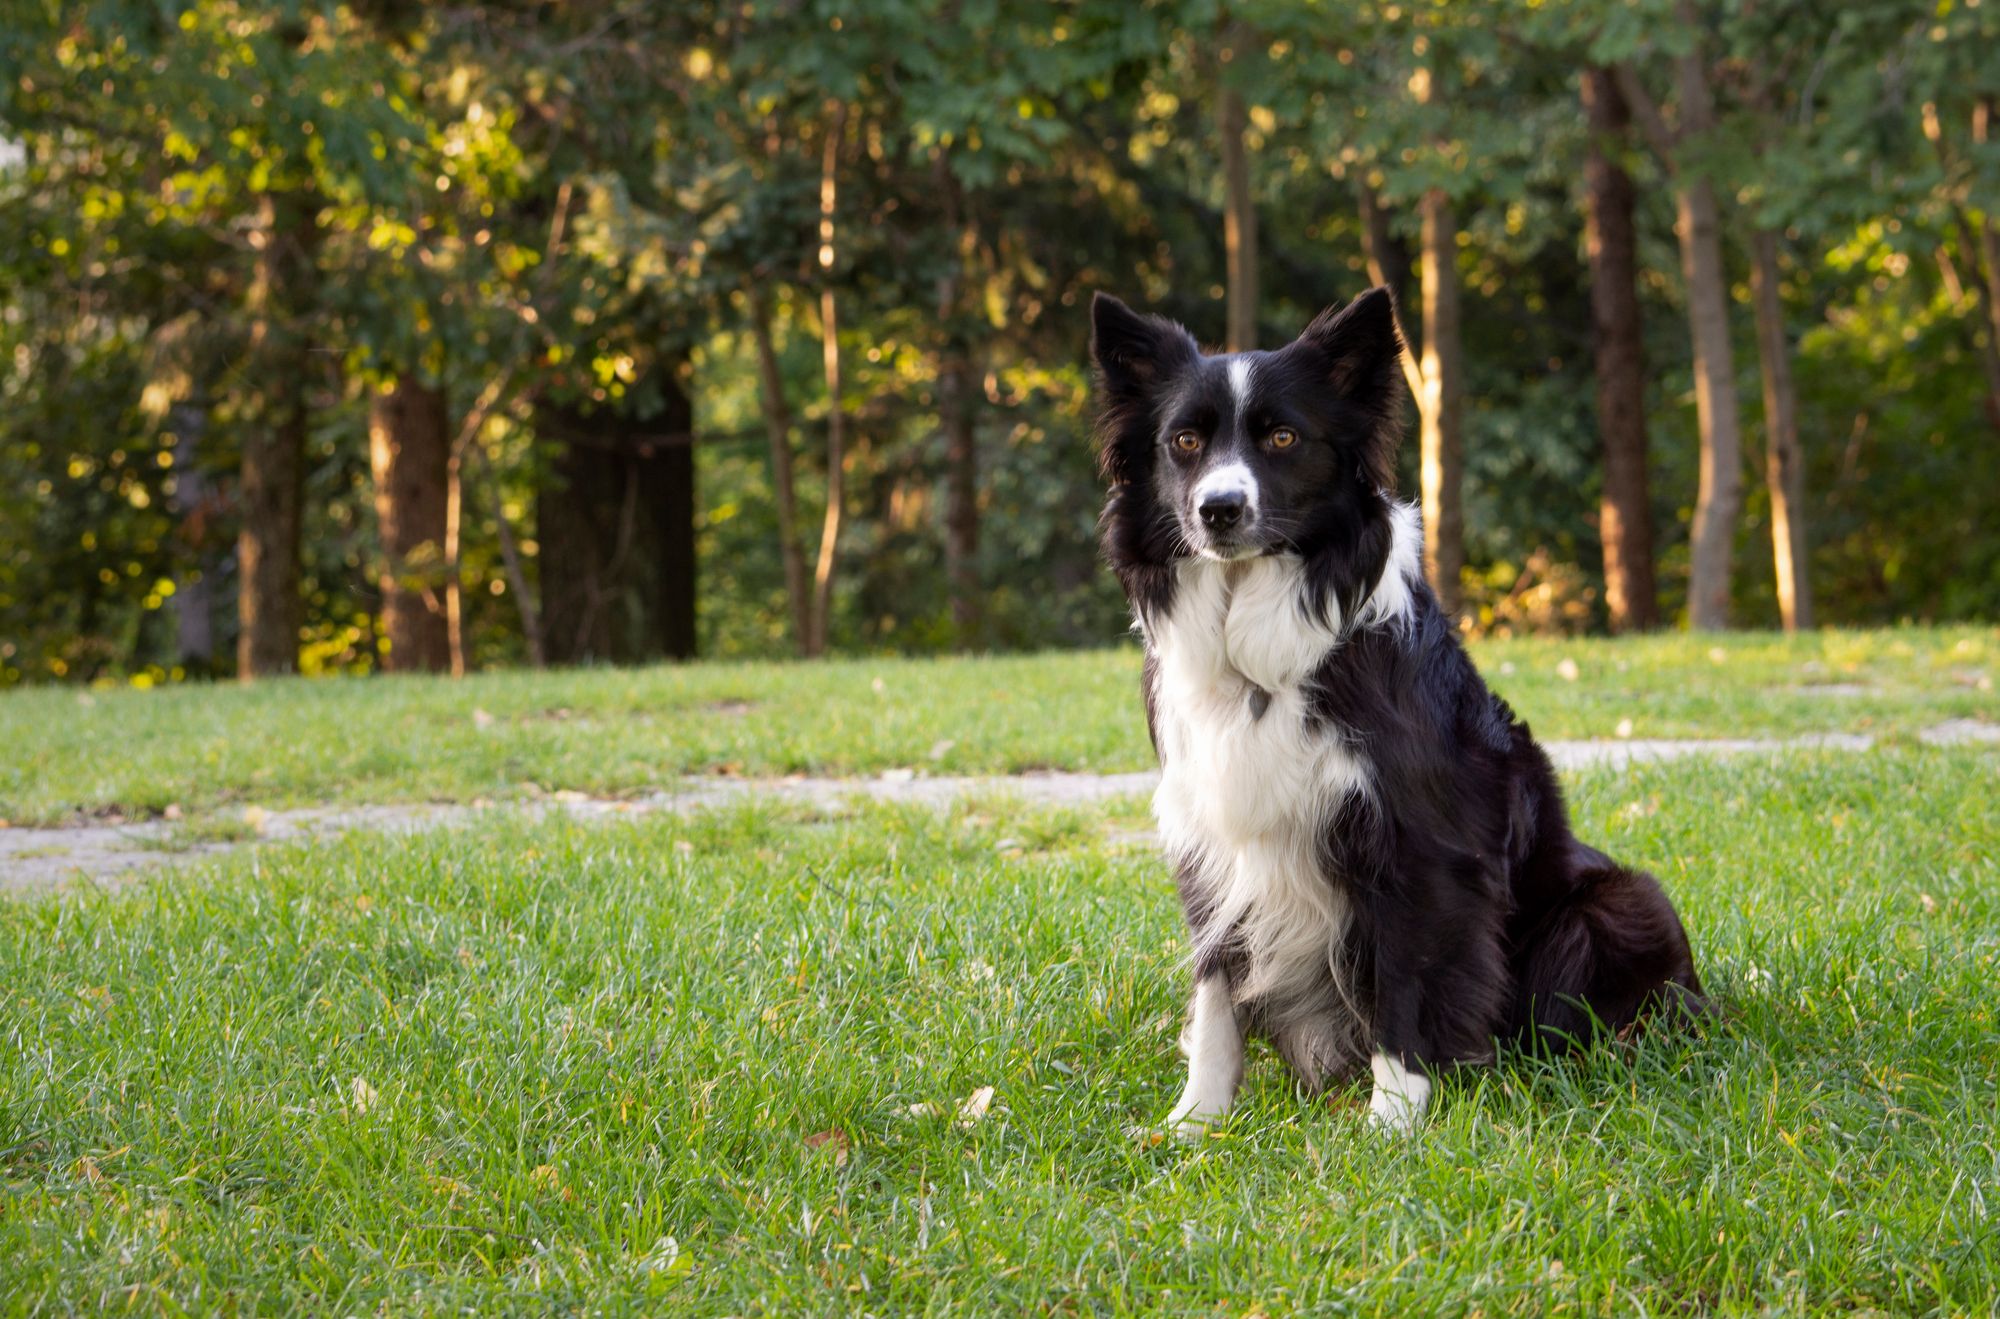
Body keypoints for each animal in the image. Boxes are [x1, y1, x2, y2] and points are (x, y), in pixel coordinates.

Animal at [1096, 287, 1704, 1135]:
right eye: (1183, 440)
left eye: (1283, 435)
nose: (1219, 509)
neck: (1260, 655)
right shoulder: (1212, 838)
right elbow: (1215, 989)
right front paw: (1196, 1121)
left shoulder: (1414, 843)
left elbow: (1404, 979)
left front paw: (1393, 1117)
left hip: (1618, 901)